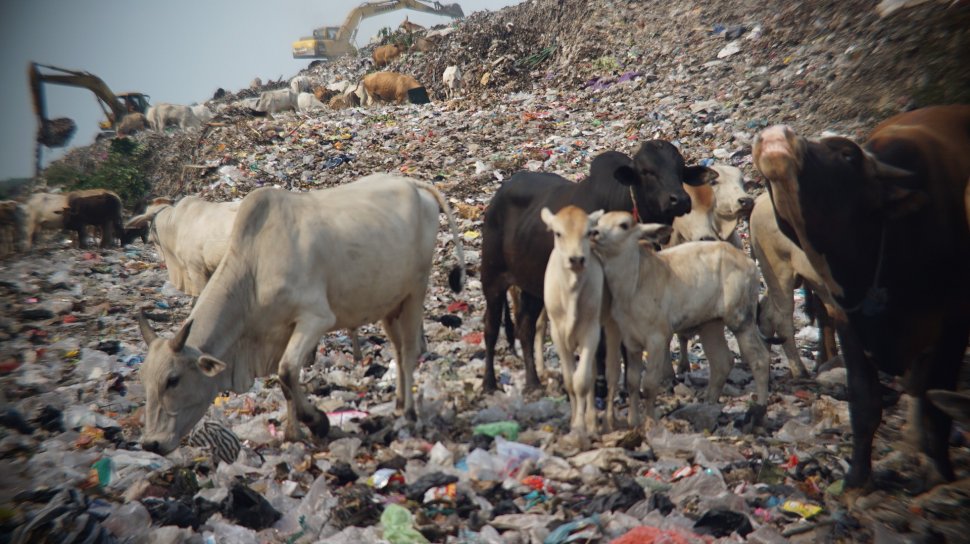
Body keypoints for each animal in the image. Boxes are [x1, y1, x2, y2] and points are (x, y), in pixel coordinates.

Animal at [136, 174, 466, 454]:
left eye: (173, 379)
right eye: (145, 380)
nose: (151, 443)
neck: (253, 272)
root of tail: (413, 184)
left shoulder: (315, 319)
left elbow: (286, 371)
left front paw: (317, 421)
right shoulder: (279, 333)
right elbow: (285, 383)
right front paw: (294, 433)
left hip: (415, 292)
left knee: (409, 352)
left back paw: (408, 412)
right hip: (388, 302)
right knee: (397, 351)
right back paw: (397, 404)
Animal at [480, 142, 716, 394]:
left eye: (680, 169)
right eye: (646, 171)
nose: (679, 200)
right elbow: (600, 345)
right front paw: (601, 386)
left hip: (533, 287)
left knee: (525, 328)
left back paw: (533, 382)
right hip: (492, 278)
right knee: (491, 328)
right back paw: (489, 383)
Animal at [540, 206, 616, 436]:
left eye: (588, 232)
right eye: (558, 233)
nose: (576, 259)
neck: (571, 292)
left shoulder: (591, 331)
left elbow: (582, 381)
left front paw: (582, 426)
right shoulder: (557, 333)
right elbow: (569, 381)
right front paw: (575, 421)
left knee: (606, 375)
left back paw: (603, 421)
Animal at [588, 210, 772, 422]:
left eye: (624, 225)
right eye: (599, 221)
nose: (594, 234)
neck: (634, 282)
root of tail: (749, 262)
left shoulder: (658, 339)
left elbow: (649, 384)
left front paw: (650, 422)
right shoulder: (630, 341)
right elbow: (633, 382)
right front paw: (633, 421)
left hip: (741, 318)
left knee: (759, 359)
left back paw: (758, 410)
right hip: (710, 323)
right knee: (722, 362)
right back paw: (708, 404)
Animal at [752, 106, 968, 488]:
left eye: (848, 154)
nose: (777, 135)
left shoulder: (951, 328)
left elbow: (932, 401)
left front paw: (937, 470)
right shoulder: (848, 320)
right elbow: (867, 402)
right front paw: (856, 479)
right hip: (777, 272)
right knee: (783, 318)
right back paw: (801, 367)